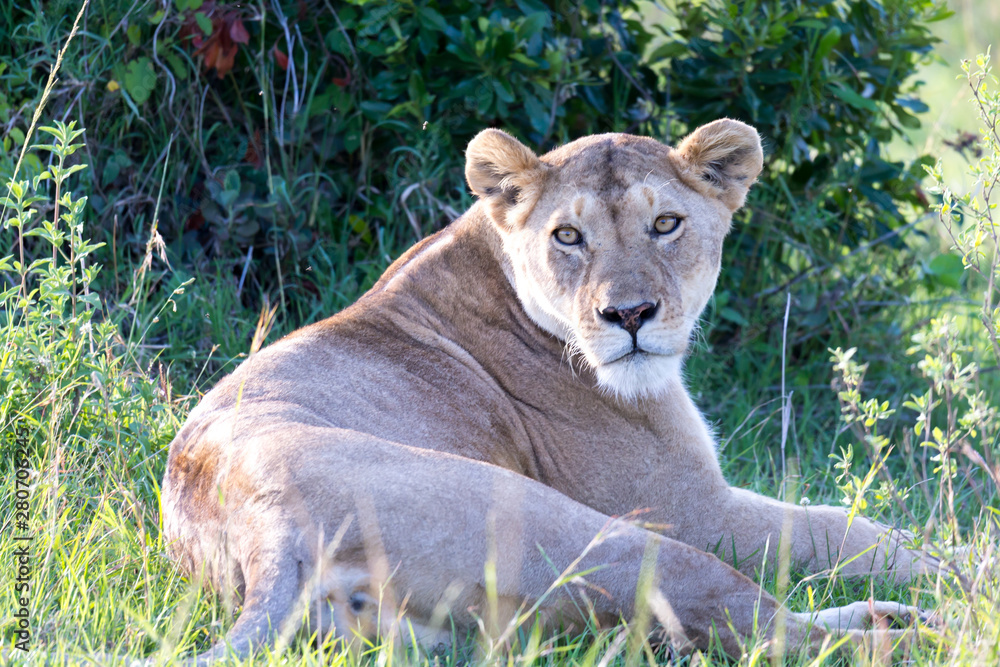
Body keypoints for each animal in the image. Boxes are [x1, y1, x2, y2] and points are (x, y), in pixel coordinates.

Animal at [160, 119, 936, 664]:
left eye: (666, 224)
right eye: (568, 236)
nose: (629, 314)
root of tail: (263, 529)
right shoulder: (690, 507)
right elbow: (840, 527)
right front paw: (945, 562)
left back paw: (899, 615)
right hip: (607, 535)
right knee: (780, 634)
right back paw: (928, 628)